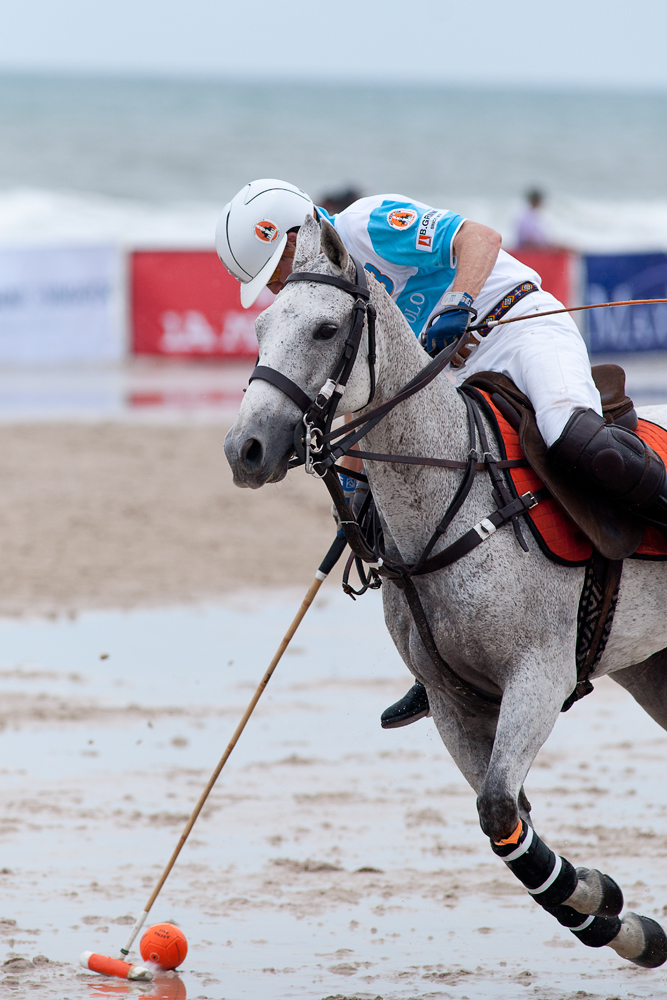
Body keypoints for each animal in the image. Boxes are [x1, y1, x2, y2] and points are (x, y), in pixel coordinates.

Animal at [226, 215, 667, 964]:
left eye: (324, 329)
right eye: (259, 328)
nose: (244, 449)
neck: (449, 496)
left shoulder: (538, 675)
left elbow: (497, 809)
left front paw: (603, 907)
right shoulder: (452, 700)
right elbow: (510, 820)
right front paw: (607, 908)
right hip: (651, 666)